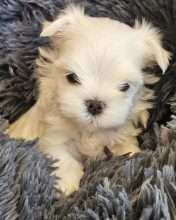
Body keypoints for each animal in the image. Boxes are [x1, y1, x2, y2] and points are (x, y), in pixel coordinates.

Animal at [6, 5, 170, 194]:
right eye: (72, 78)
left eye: (125, 87)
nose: (95, 105)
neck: (88, 130)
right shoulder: (53, 137)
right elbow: (63, 159)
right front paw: (67, 185)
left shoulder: (122, 134)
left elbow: (126, 150)